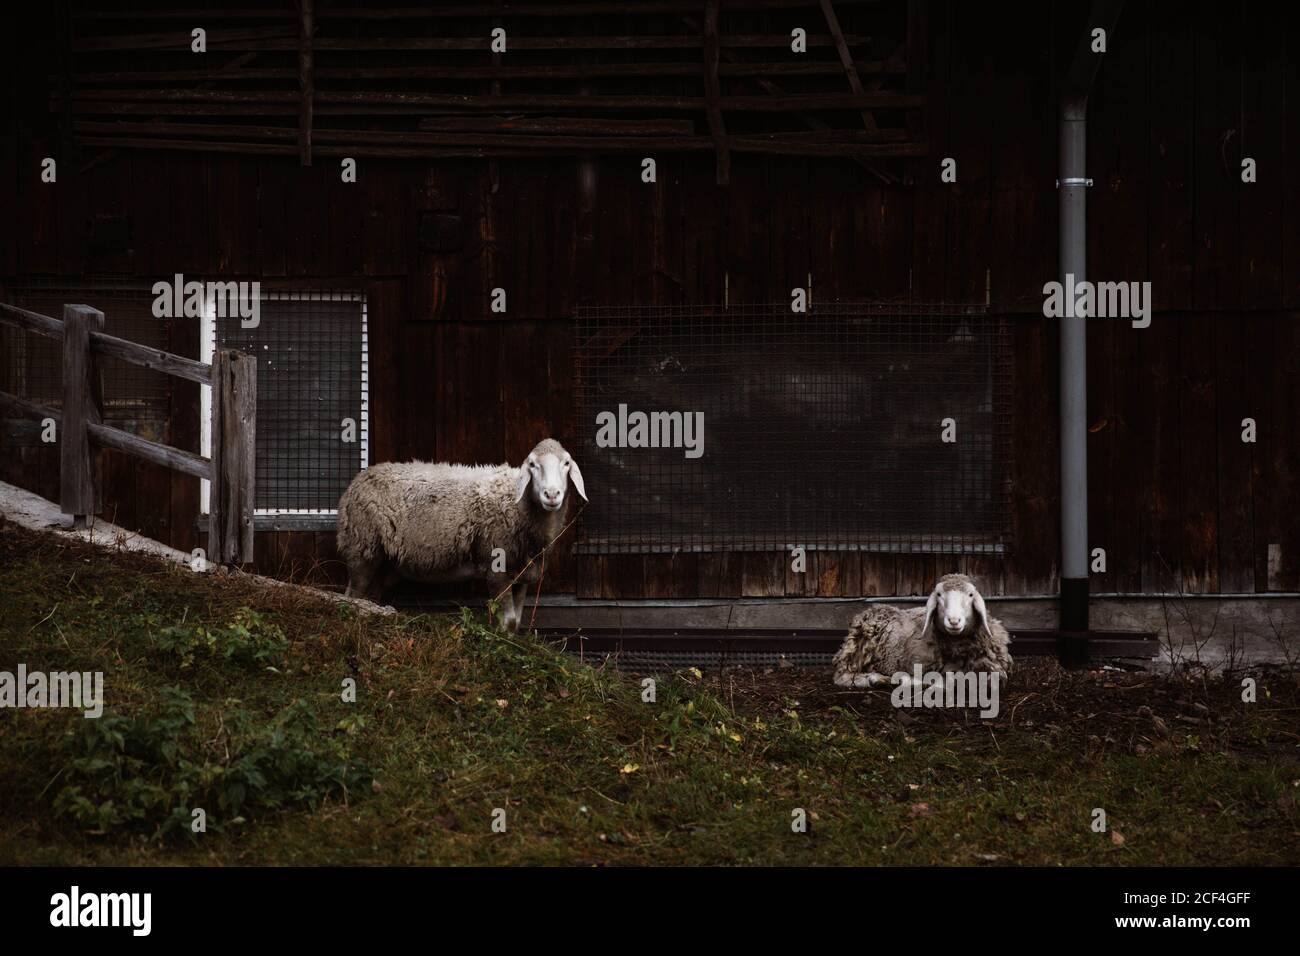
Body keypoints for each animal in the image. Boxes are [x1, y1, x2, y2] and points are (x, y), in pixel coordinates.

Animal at [335, 438, 587, 631]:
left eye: (566, 463)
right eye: (533, 464)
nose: (551, 495)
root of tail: (358, 480)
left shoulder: (523, 574)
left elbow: (516, 622)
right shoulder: (496, 568)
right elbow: (508, 622)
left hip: (383, 561)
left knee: (369, 597)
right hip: (362, 547)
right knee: (352, 596)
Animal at [832, 573, 1011, 688]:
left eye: (970, 595)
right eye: (939, 594)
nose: (954, 621)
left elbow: (997, 677)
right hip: (857, 648)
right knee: (842, 676)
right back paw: (877, 679)